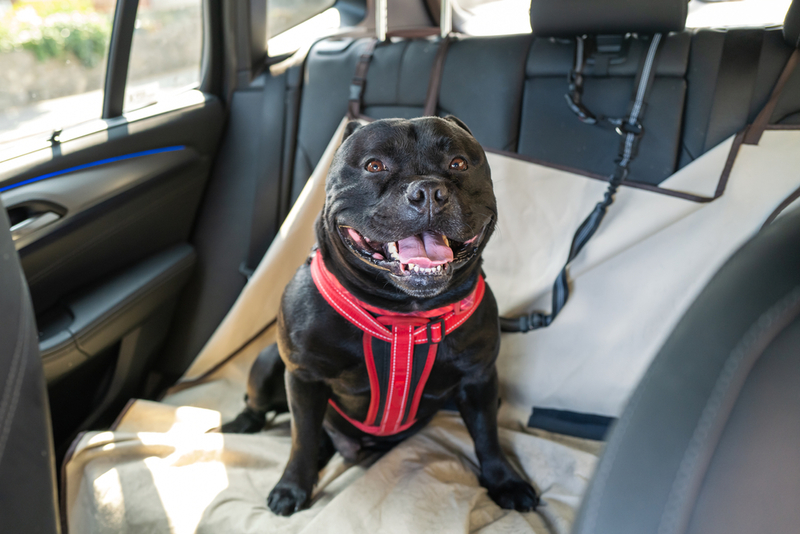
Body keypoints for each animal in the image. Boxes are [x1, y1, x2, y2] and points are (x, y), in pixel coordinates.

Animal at [222, 117, 540, 520]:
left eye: (458, 163)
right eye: (375, 165)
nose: (429, 192)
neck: (404, 314)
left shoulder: (479, 378)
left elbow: (488, 435)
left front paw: (504, 481)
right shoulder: (304, 378)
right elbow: (301, 439)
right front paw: (291, 487)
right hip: (268, 363)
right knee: (261, 405)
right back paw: (242, 424)